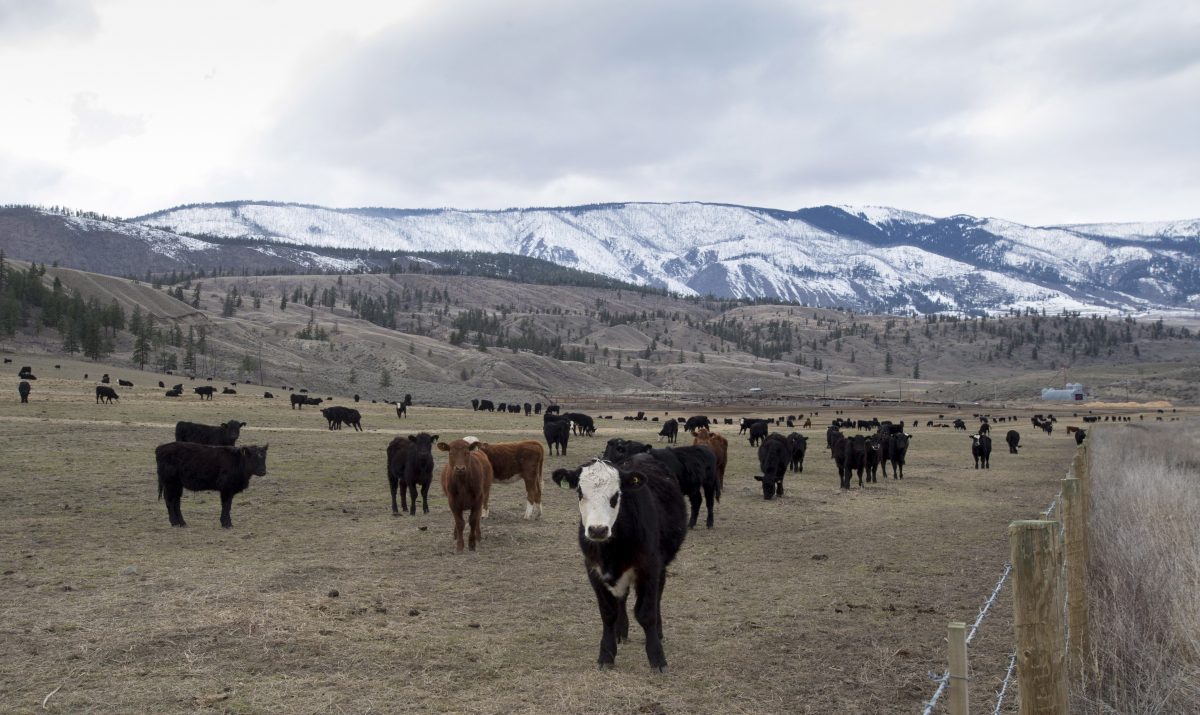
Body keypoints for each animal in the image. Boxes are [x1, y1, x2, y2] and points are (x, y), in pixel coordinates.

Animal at [552, 457, 686, 672]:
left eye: (616, 495)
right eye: (580, 493)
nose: (597, 530)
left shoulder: (649, 567)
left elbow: (646, 613)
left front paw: (657, 657)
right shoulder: (594, 570)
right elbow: (608, 613)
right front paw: (606, 654)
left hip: (662, 564)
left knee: (658, 595)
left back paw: (658, 631)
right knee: (622, 598)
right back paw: (620, 631)